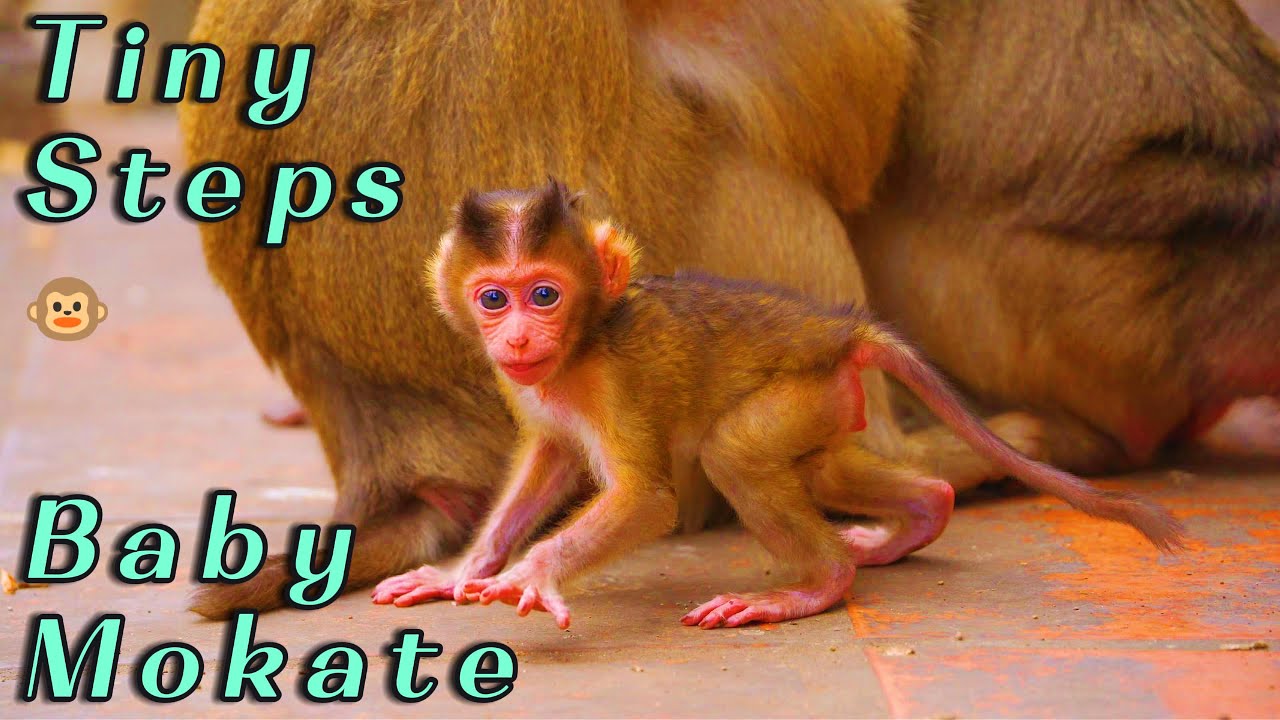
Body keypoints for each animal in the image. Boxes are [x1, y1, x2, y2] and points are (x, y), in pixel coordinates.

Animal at [371, 180, 1183, 630]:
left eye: (544, 294)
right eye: (493, 299)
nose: (515, 335)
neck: (579, 347)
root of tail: (842, 328)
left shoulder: (612, 382)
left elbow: (647, 500)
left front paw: (533, 573)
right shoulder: (527, 387)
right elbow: (545, 461)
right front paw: (462, 569)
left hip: (801, 390)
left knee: (735, 452)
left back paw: (820, 585)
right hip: (829, 398)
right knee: (824, 470)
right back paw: (923, 511)